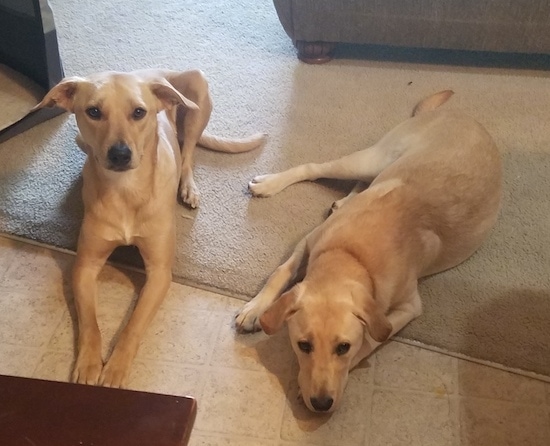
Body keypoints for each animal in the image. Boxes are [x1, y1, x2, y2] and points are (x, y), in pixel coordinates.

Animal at [35, 69, 266, 386]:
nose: (120, 154)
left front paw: (116, 368)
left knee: (188, 154)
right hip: (80, 138)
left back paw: (188, 188)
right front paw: (90, 363)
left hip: (197, 96)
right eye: (94, 111)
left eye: (139, 112)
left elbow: (133, 324)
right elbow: (90, 322)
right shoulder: (85, 265)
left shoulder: (159, 272)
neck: (125, 190)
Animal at [235, 89, 502, 412]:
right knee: (315, 167)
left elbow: (373, 338)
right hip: (371, 159)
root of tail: (464, 116)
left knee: (357, 180)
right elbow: (280, 272)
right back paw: (272, 184)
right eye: (304, 345)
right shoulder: (309, 241)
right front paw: (255, 308)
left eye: (343, 347)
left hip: (375, 163)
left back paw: (340, 200)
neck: (350, 255)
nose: (321, 403)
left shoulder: (409, 307)